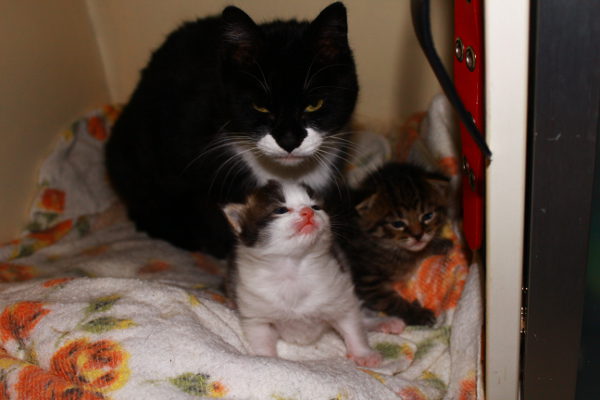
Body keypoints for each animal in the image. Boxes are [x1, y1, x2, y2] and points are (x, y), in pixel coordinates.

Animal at [344, 162, 452, 324]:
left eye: (428, 216)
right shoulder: (367, 281)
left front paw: (439, 244)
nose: (418, 236)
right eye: (397, 224)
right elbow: (392, 301)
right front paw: (418, 314)